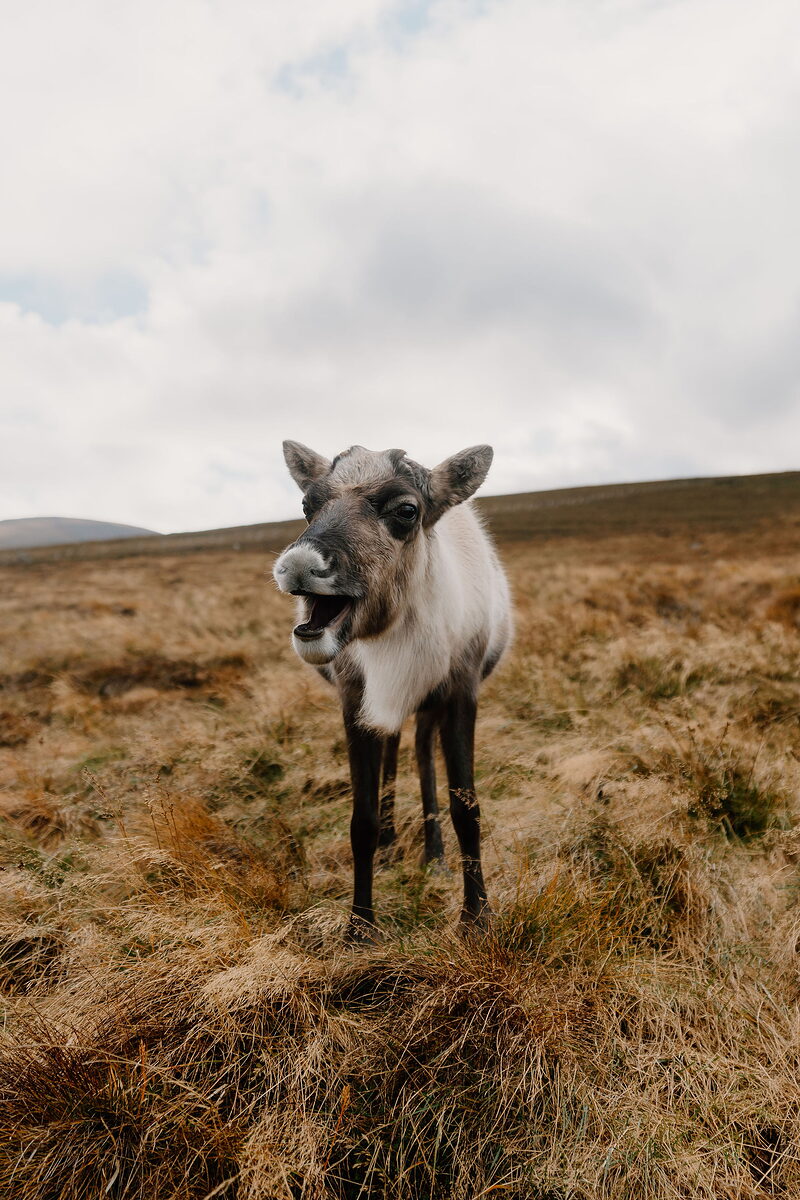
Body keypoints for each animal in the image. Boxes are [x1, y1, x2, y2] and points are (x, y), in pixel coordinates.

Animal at [273, 441, 512, 940]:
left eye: (406, 510)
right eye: (307, 504)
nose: (299, 565)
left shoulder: (460, 691)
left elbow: (466, 808)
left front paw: (476, 917)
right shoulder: (355, 698)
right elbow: (361, 818)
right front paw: (359, 926)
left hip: (428, 707)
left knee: (421, 756)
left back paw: (433, 854)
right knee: (393, 752)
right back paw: (389, 844)